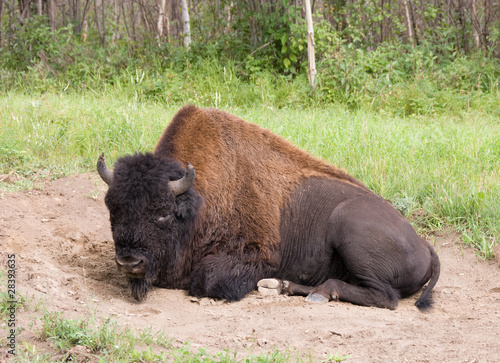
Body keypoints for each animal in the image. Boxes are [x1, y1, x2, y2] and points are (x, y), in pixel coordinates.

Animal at [98, 104, 442, 310]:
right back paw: (281, 286)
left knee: (385, 297)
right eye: (112, 209)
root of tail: (424, 244)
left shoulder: (256, 255)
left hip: (350, 227)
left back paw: (317, 292)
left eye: (163, 213)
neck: (197, 200)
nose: (129, 262)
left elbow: (206, 281)